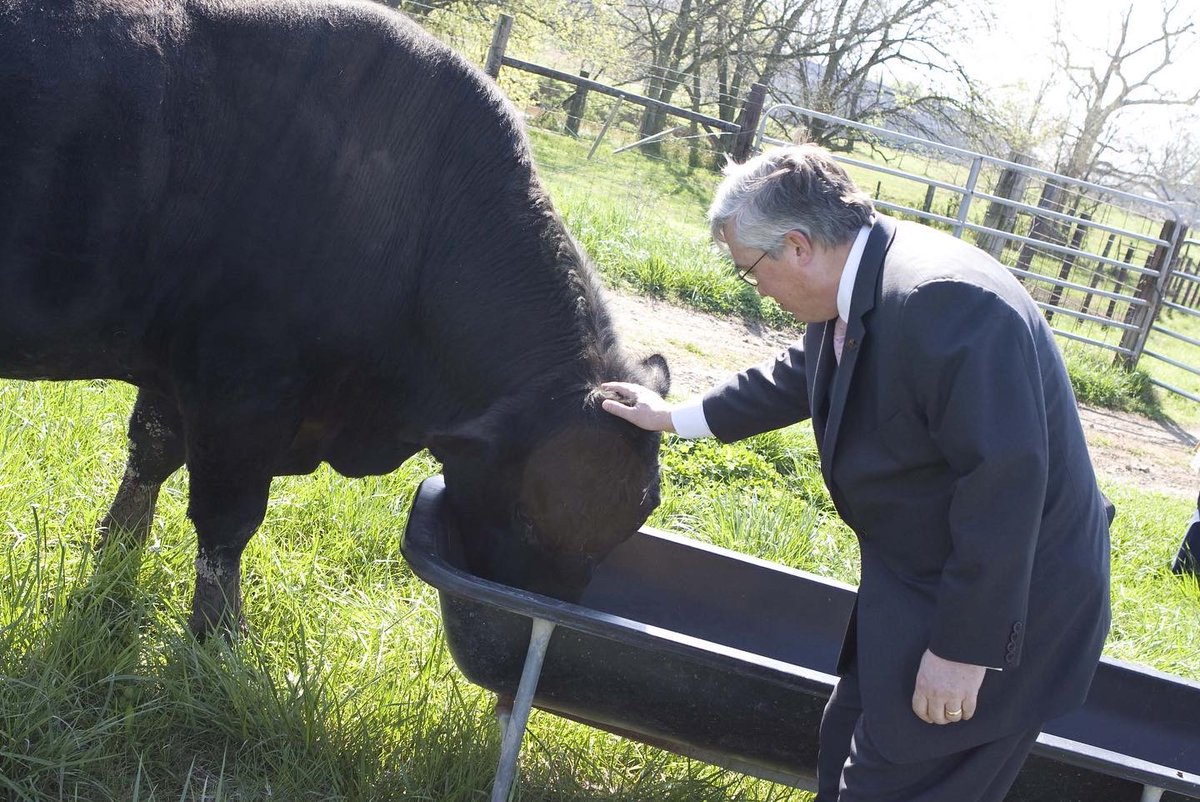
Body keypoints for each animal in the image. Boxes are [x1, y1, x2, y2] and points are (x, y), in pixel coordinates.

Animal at [0, 0, 670, 637]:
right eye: (527, 517)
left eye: (637, 518)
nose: (536, 619)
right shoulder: (242, 387)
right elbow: (226, 519)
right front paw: (219, 634)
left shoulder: (175, 367)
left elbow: (150, 454)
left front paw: (115, 549)